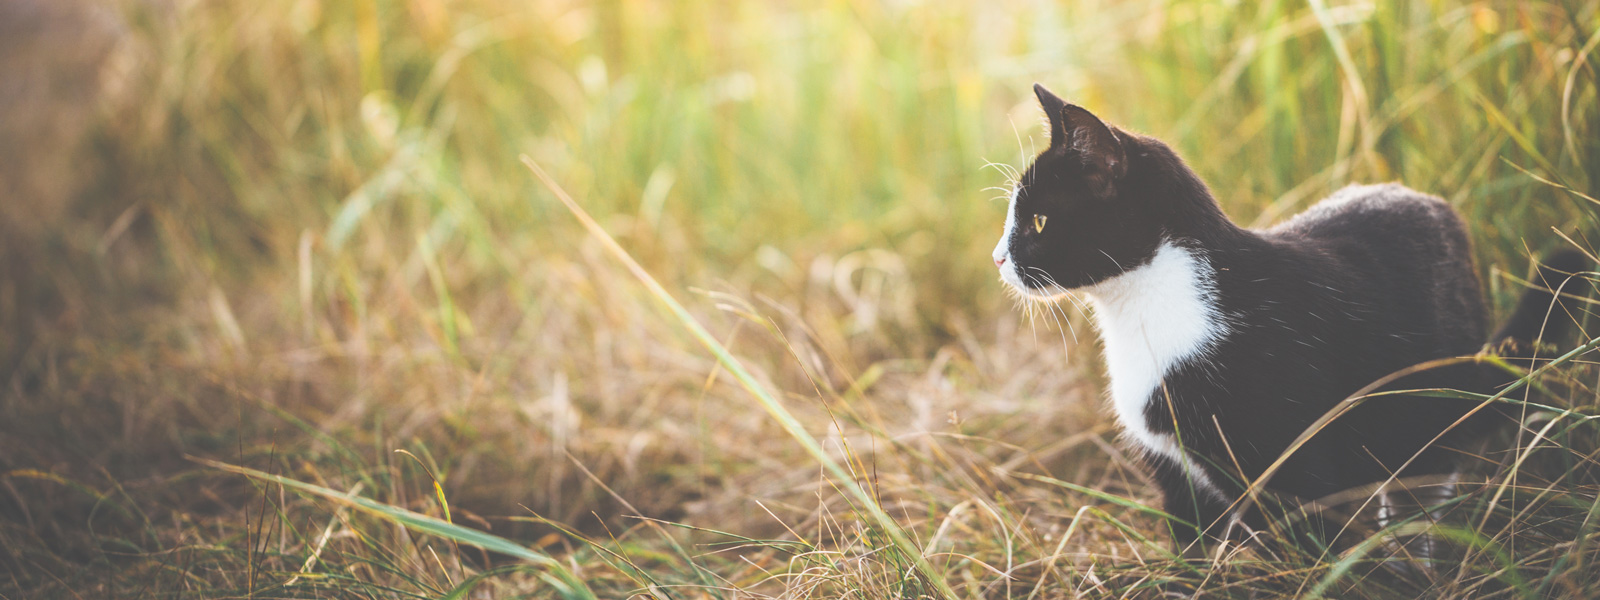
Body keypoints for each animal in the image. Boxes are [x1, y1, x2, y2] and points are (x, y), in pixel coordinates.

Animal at [998, 83, 1587, 553]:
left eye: (1039, 220)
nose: (998, 257)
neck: (1144, 312)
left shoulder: (1293, 468)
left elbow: (1308, 550)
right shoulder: (1175, 472)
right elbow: (1192, 551)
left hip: (1425, 414)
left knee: (1420, 496)